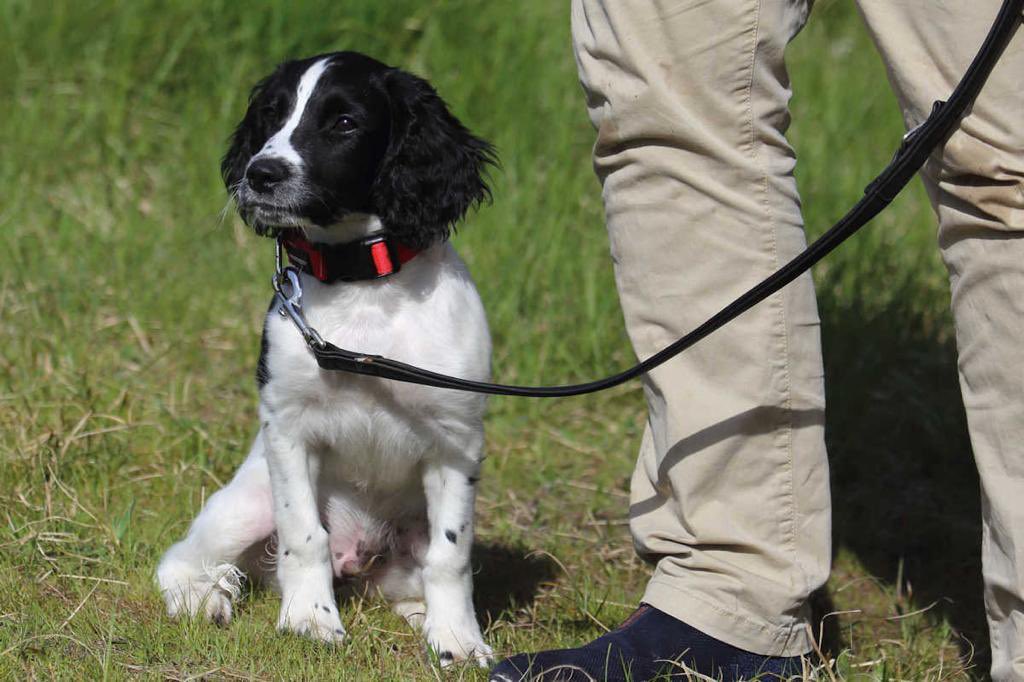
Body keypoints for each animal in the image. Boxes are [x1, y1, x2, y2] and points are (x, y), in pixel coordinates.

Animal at [152, 51, 499, 663]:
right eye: (272, 114)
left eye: (343, 123)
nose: (260, 174)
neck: (363, 288)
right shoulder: (289, 427)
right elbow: (304, 535)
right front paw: (309, 620)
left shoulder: (456, 437)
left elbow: (451, 554)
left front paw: (458, 639)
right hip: (248, 501)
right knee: (181, 558)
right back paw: (203, 597)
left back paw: (420, 615)